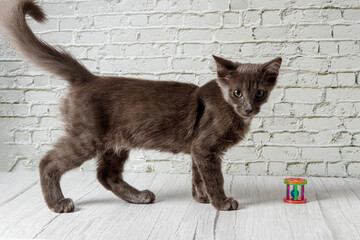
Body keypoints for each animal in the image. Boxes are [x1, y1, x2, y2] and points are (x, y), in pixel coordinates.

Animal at [0, 0, 282, 212]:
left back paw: (139, 197)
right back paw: (58, 204)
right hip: (87, 137)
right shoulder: (205, 147)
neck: (229, 107)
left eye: (259, 93)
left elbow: (198, 176)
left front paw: (201, 198)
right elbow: (214, 177)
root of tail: (89, 78)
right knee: (48, 162)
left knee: (106, 175)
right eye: (237, 93)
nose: (249, 108)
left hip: (116, 143)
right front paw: (221, 202)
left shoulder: (198, 149)